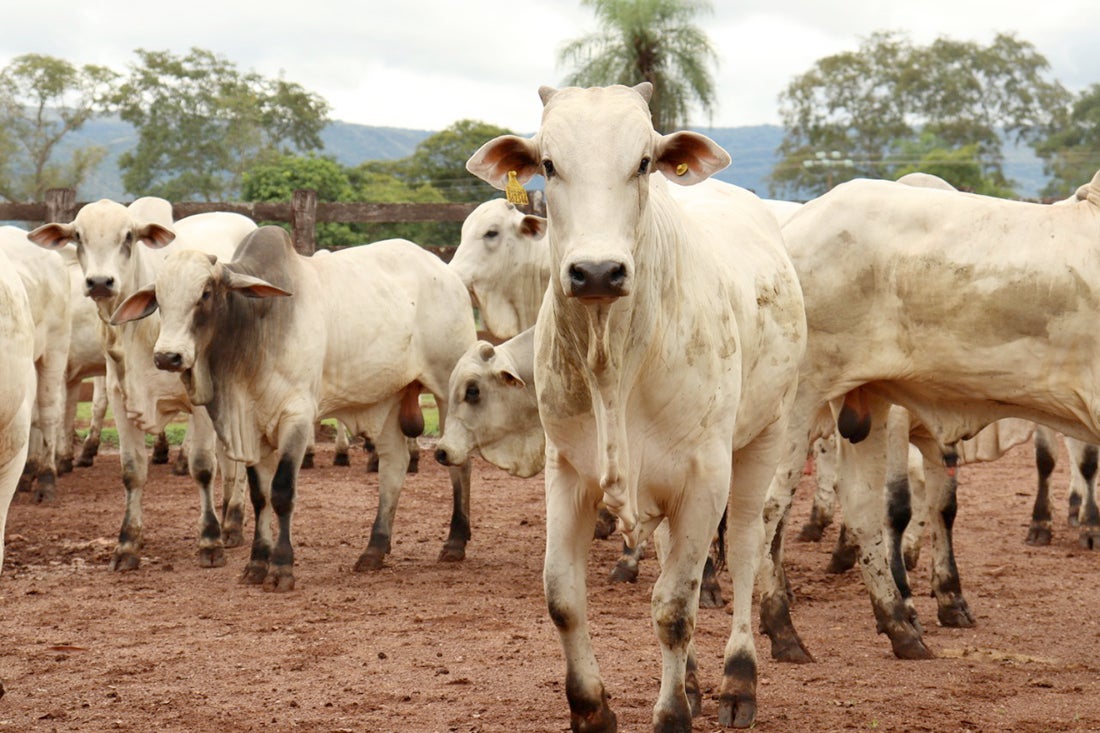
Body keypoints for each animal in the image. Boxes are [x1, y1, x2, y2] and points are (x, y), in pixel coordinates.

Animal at [28, 202, 253, 570]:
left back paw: (232, 522)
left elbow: (203, 467)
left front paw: (209, 541)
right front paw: (127, 545)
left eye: (129, 236)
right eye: (79, 236)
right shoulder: (123, 398)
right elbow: (132, 471)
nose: (100, 282)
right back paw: (227, 515)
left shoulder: (200, 400)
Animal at [111, 228, 478, 591]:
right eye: (159, 298)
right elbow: (260, 496)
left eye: (205, 293)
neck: (255, 329)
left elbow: (282, 491)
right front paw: (257, 563)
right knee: (394, 465)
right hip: (387, 398)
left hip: (448, 388)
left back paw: (455, 542)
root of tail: (447, 272)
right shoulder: (252, 429)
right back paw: (374, 549)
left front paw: (281, 567)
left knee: (458, 462)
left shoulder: (297, 417)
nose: (167, 357)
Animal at [466, 82, 807, 731]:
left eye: (644, 162)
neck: (613, 363)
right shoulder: (568, 472)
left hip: (766, 437)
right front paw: (593, 709)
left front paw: (672, 715)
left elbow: (674, 608)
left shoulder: (705, 476)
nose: (597, 272)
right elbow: (563, 598)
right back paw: (695, 680)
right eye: (549, 164)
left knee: (745, 553)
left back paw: (737, 681)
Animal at [757, 167, 1100, 666]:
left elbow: (939, 505)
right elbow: (903, 505)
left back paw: (898, 626)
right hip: (798, 401)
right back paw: (782, 628)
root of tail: (794, 225)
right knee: (769, 508)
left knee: (859, 505)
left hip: (864, 401)